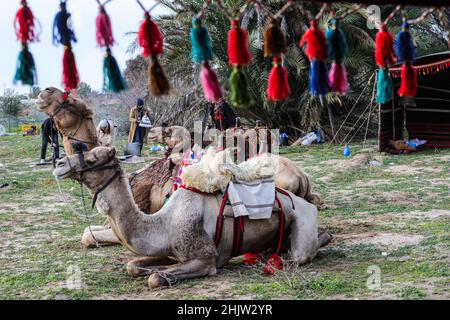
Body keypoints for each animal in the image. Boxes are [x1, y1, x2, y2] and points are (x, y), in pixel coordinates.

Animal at [53, 147, 330, 288]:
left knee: (301, 252)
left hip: (302, 221)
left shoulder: (205, 259)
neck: (163, 224)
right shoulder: (169, 252)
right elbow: (133, 266)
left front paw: (160, 275)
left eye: (91, 158)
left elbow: (155, 278)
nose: (59, 163)